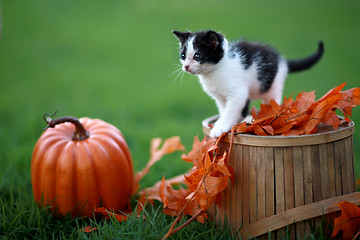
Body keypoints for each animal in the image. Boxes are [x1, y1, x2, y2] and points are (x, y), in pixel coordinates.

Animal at [172, 30, 324, 138]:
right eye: (183, 56)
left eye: (197, 56)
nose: (186, 66)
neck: (214, 71)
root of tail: (282, 61)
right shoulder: (219, 97)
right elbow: (224, 109)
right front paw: (224, 121)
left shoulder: (238, 93)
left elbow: (231, 110)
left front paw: (221, 127)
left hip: (272, 85)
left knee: (273, 102)